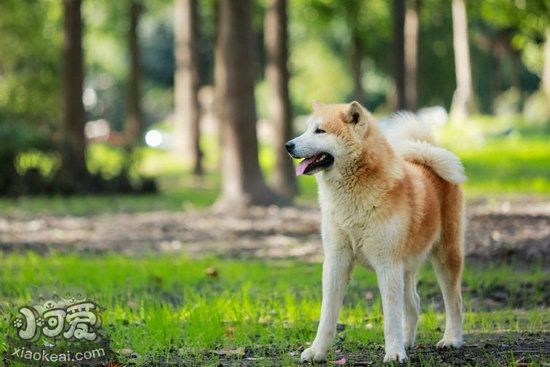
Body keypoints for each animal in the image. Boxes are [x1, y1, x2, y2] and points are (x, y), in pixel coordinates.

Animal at [286, 101, 468, 366]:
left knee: (454, 302)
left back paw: (451, 339)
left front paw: (393, 353)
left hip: (445, 256)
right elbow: (327, 315)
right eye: (307, 129)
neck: (353, 197)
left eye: (320, 131)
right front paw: (317, 351)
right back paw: (407, 340)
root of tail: (427, 156)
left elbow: (391, 317)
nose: (288, 145)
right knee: (414, 303)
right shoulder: (337, 261)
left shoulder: (387, 264)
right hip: (406, 266)